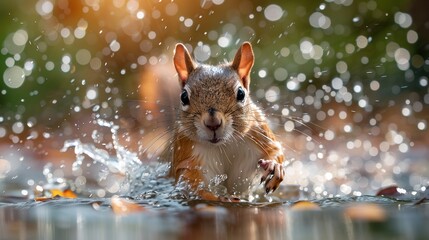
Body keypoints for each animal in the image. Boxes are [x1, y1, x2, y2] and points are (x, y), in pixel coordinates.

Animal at [170, 41, 284, 201]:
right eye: (184, 97)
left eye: (241, 93)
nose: (213, 123)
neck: (224, 144)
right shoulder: (188, 156)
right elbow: (192, 186)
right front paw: (222, 198)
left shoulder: (259, 132)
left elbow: (276, 151)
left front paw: (275, 166)